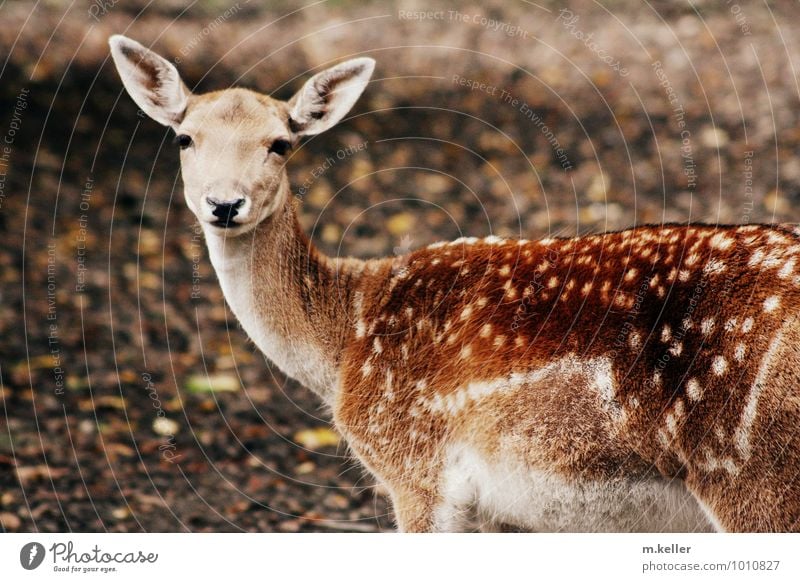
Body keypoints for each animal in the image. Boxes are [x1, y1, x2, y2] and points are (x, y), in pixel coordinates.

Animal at [111, 33, 800, 532]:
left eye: (280, 143)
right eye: (184, 137)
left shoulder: (417, 470)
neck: (345, 342)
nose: (224, 203)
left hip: (754, 477)